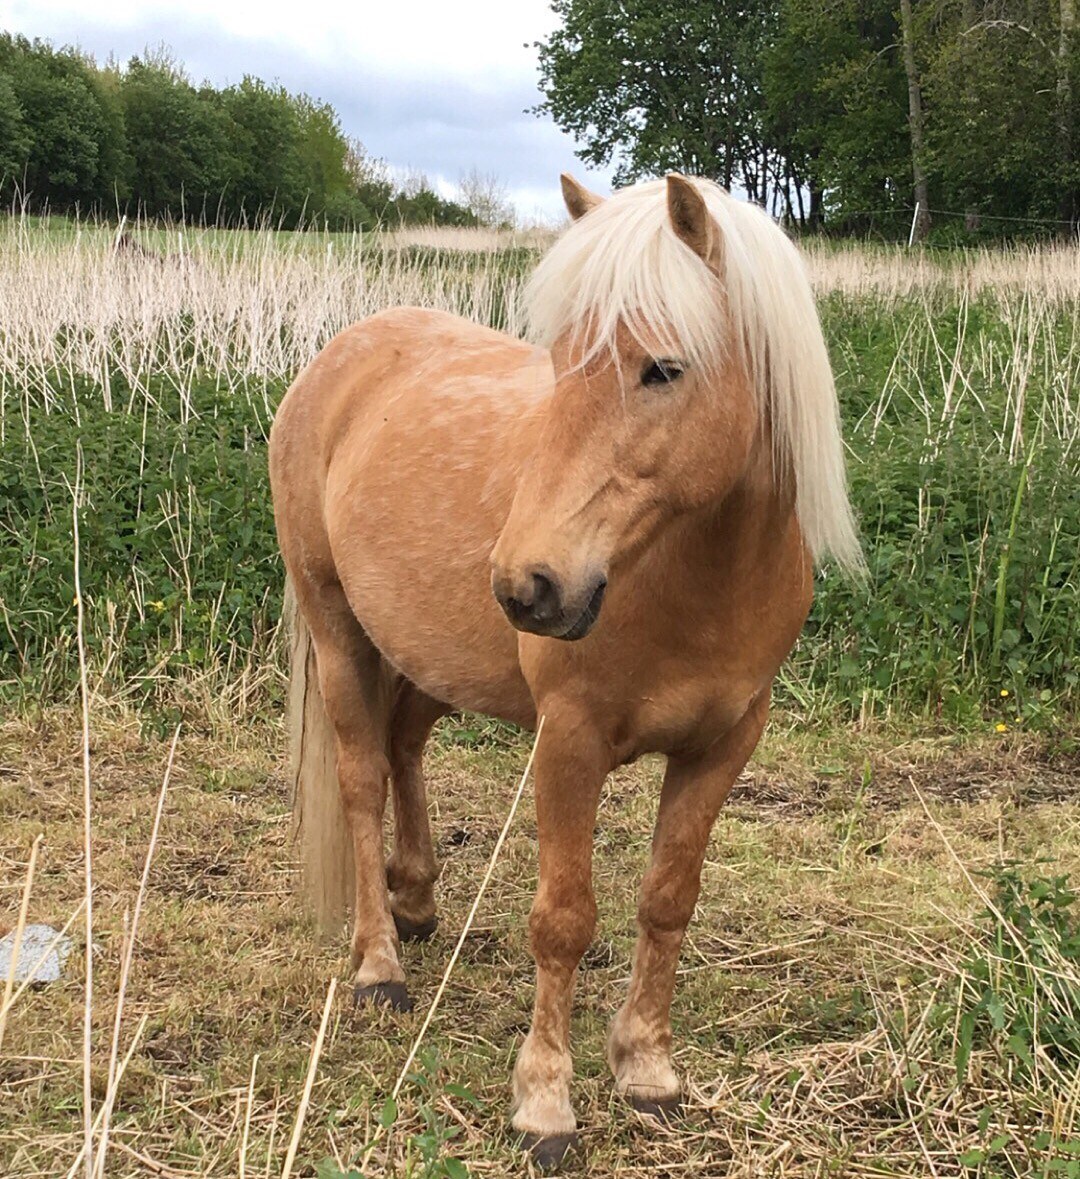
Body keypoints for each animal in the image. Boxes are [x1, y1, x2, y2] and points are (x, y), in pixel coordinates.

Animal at [270, 174, 858, 1169]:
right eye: (559, 363)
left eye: (663, 368)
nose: (527, 585)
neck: (696, 579)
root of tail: (340, 357)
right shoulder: (569, 741)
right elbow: (566, 919)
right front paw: (545, 1102)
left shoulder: (725, 743)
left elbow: (668, 899)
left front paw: (647, 1069)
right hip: (339, 629)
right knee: (359, 777)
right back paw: (381, 963)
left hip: (425, 659)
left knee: (402, 749)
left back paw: (418, 899)